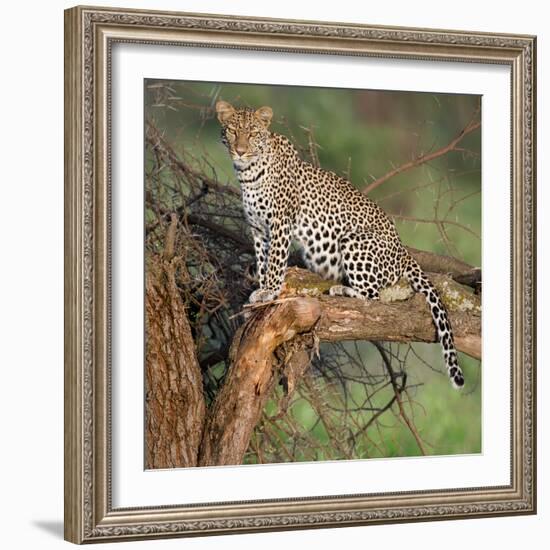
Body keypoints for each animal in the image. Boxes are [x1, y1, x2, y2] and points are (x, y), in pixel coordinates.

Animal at [216, 100, 466, 392]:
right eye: (233, 131)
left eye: (253, 133)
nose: (240, 151)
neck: (248, 174)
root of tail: (404, 252)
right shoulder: (258, 228)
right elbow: (263, 259)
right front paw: (260, 289)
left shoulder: (279, 223)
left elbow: (275, 263)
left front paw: (270, 292)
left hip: (352, 240)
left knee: (374, 296)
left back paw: (342, 289)